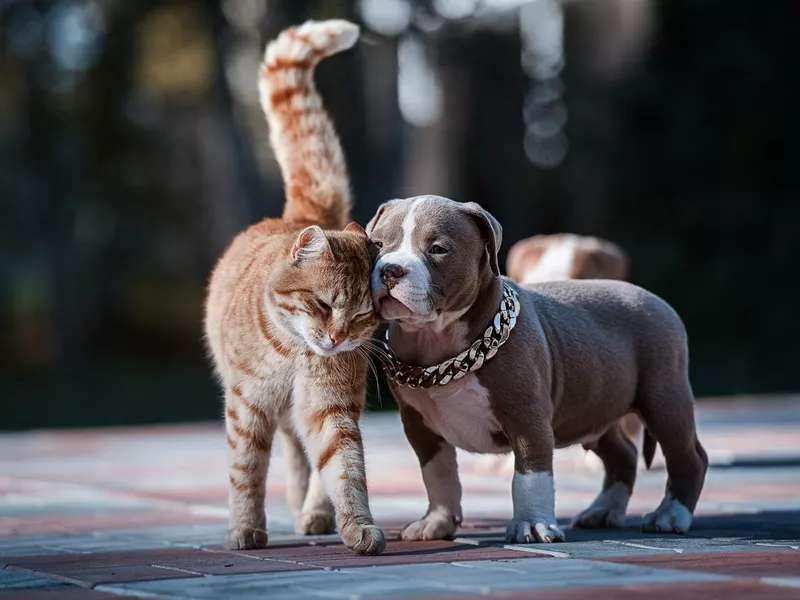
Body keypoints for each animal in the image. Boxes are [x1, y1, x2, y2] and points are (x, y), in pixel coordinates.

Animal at [203, 19, 384, 556]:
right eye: (323, 303)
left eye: (363, 314)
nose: (339, 337)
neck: (293, 352)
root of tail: (300, 213)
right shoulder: (247, 405)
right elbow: (246, 471)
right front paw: (245, 529)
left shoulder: (330, 406)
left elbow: (344, 468)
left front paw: (355, 524)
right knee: (289, 455)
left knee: (307, 459)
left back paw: (316, 514)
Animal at [368, 196, 708, 544]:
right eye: (376, 244)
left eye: (438, 248)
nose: (390, 269)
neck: (436, 340)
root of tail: (652, 297)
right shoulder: (419, 425)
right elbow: (438, 473)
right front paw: (436, 521)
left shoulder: (526, 416)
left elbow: (531, 475)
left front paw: (531, 524)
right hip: (595, 409)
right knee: (623, 455)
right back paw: (604, 510)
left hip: (664, 397)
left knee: (688, 457)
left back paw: (670, 514)